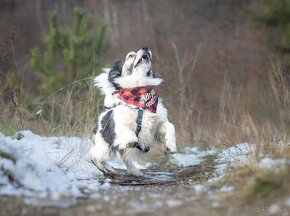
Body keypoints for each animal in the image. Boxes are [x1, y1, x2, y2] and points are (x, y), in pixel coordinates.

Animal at [90, 47, 177, 176]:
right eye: (130, 56)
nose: (145, 48)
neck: (140, 98)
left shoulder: (158, 125)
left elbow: (171, 127)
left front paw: (171, 146)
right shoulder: (120, 126)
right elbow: (128, 131)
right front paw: (131, 140)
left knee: (124, 158)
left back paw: (133, 171)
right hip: (104, 146)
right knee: (94, 157)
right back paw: (108, 169)